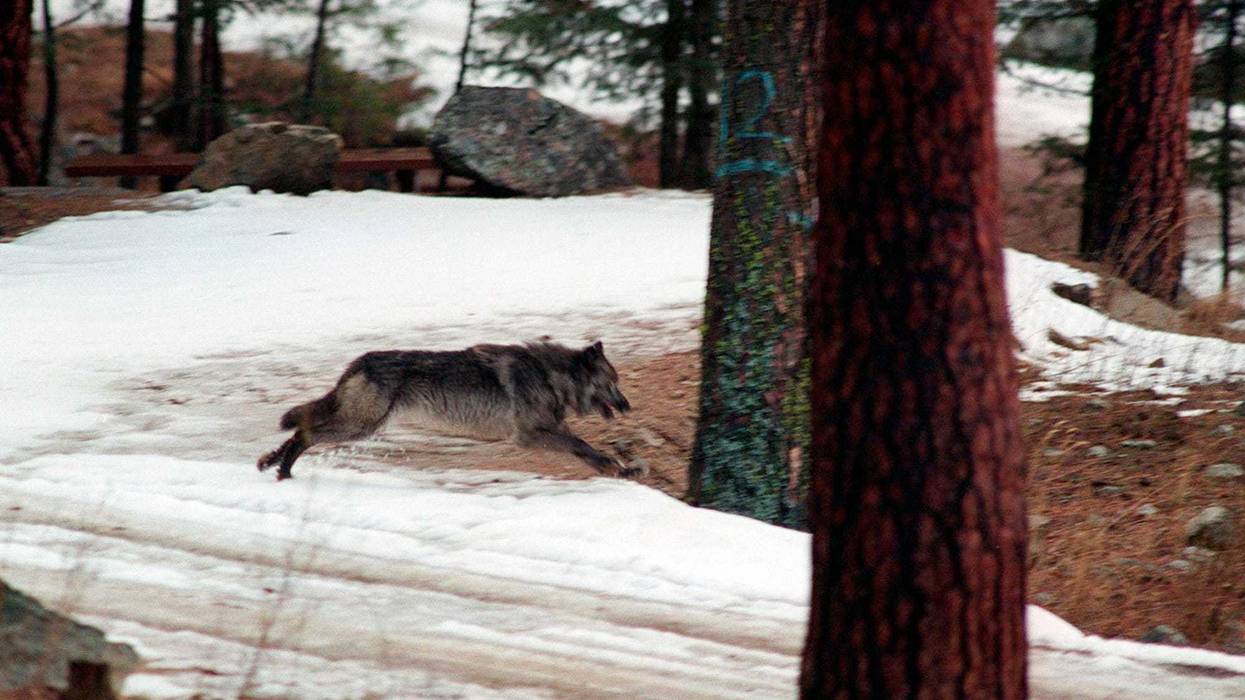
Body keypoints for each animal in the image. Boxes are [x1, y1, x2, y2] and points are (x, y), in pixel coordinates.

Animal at [257, 340, 635, 481]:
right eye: (612, 383)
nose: (627, 406)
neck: (549, 376)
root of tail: (358, 362)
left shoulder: (549, 430)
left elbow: (585, 450)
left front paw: (619, 469)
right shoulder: (529, 436)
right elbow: (581, 444)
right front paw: (616, 466)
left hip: (358, 424)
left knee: (302, 426)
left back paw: (270, 462)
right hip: (359, 427)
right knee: (305, 432)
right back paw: (284, 471)